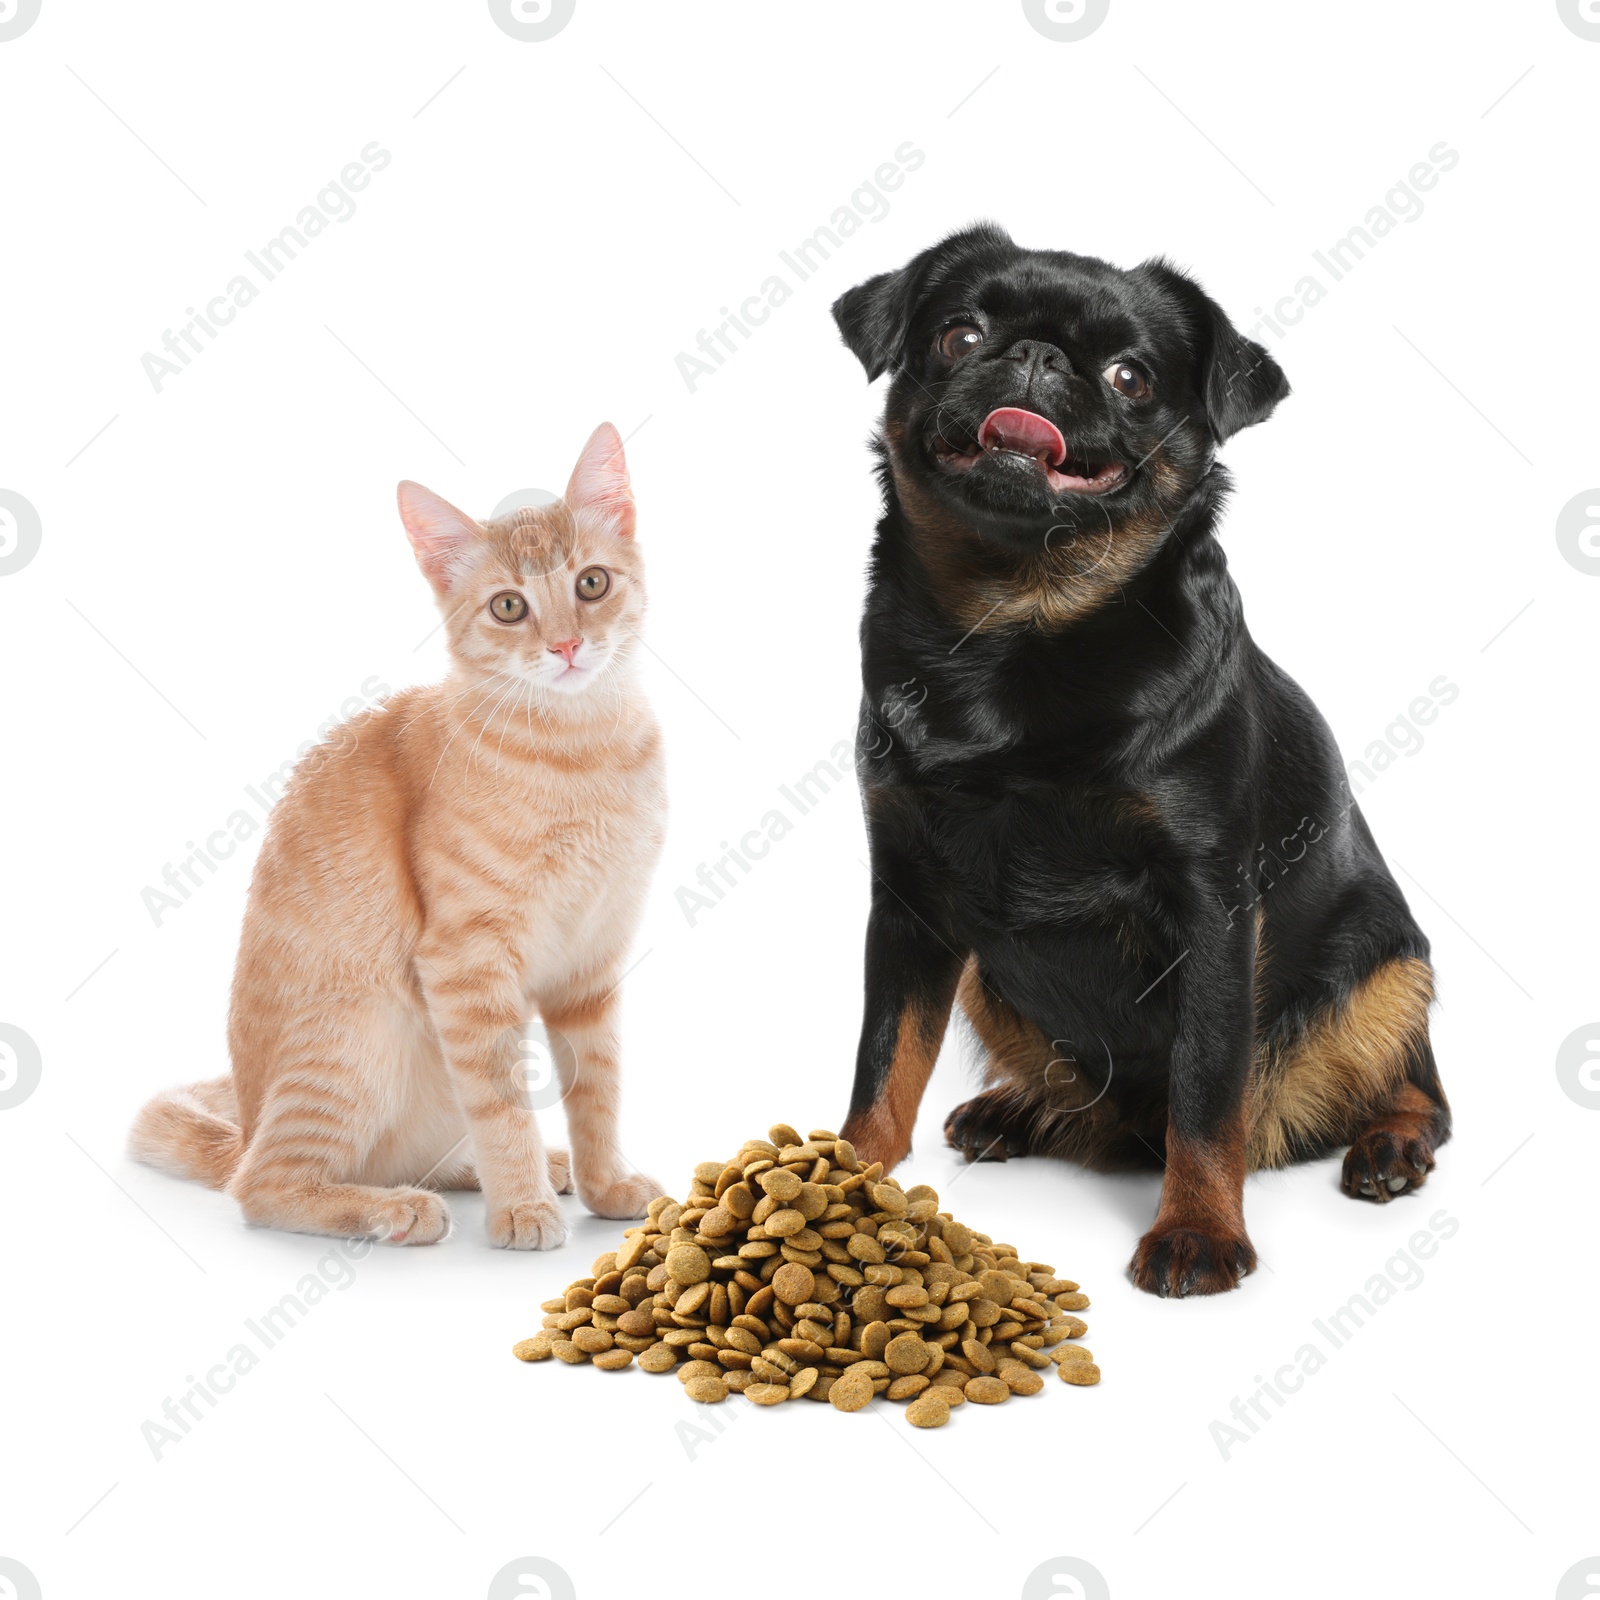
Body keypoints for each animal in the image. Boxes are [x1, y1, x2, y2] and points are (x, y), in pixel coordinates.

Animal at [129, 425, 668, 1248]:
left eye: (591, 585)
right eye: (509, 606)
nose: (568, 646)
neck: (581, 751)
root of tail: (244, 1129)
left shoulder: (592, 964)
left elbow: (596, 1085)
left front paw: (603, 1182)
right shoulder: (466, 963)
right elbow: (501, 1101)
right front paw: (522, 1210)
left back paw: (534, 1169)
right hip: (358, 1038)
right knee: (266, 1187)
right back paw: (398, 1208)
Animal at [832, 225, 1446, 1299]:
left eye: (1130, 377)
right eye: (959, 334)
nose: (1035, 355)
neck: (1019, 621)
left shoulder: (1211, 909)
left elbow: (1206, 1091)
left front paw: (1198, 1229)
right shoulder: (906, 899)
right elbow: (883, 1061)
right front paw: (834, 1186)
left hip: (1391, 964)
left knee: (1415, 1091)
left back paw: (1391, 1146)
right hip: (990, 977)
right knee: (1090, 1102)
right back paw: (1020, 1110)